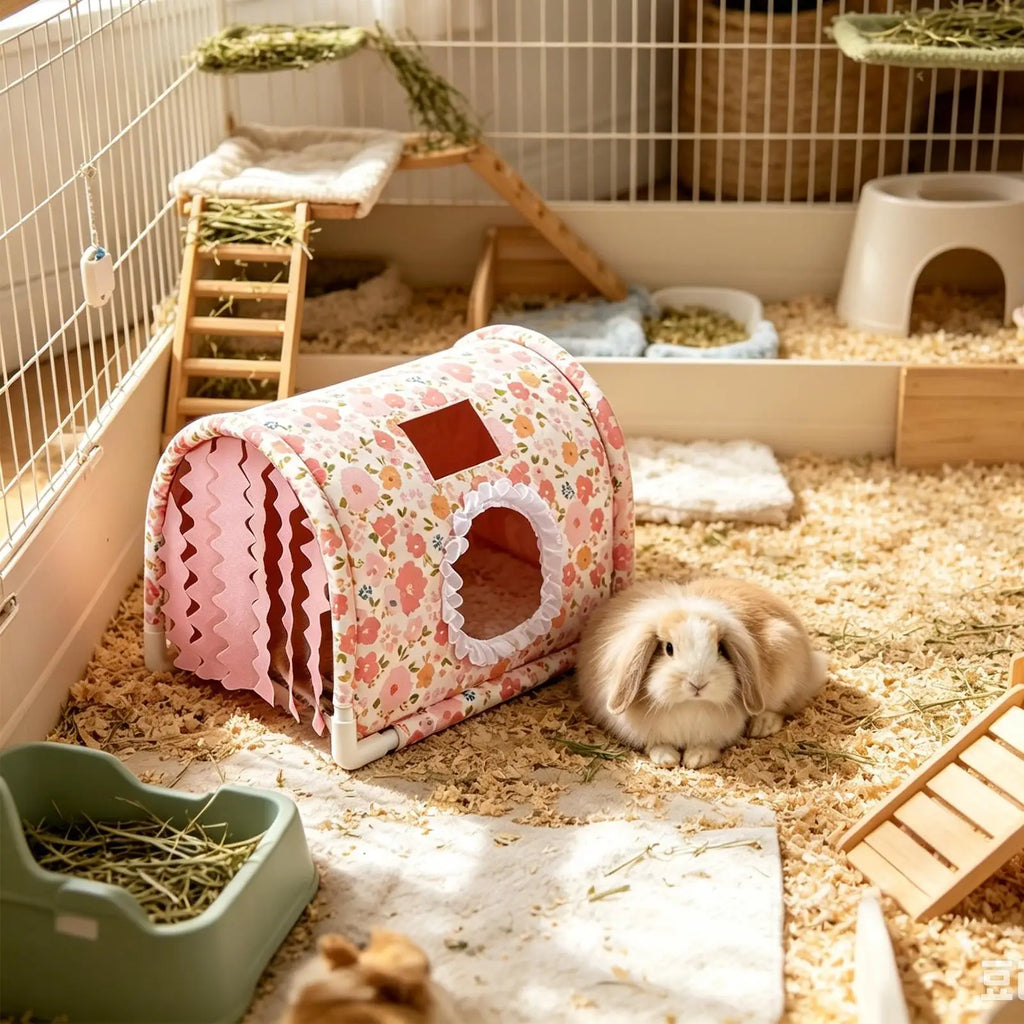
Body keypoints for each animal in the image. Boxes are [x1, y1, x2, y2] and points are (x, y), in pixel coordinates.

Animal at [574, 576, 828, 769]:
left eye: (720, 649)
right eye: (668, 648)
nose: (698, 683)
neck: (689, 706)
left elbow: (708, 745)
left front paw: (696, 759)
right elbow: (657, 744)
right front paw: (666, 759)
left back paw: (762, 725)